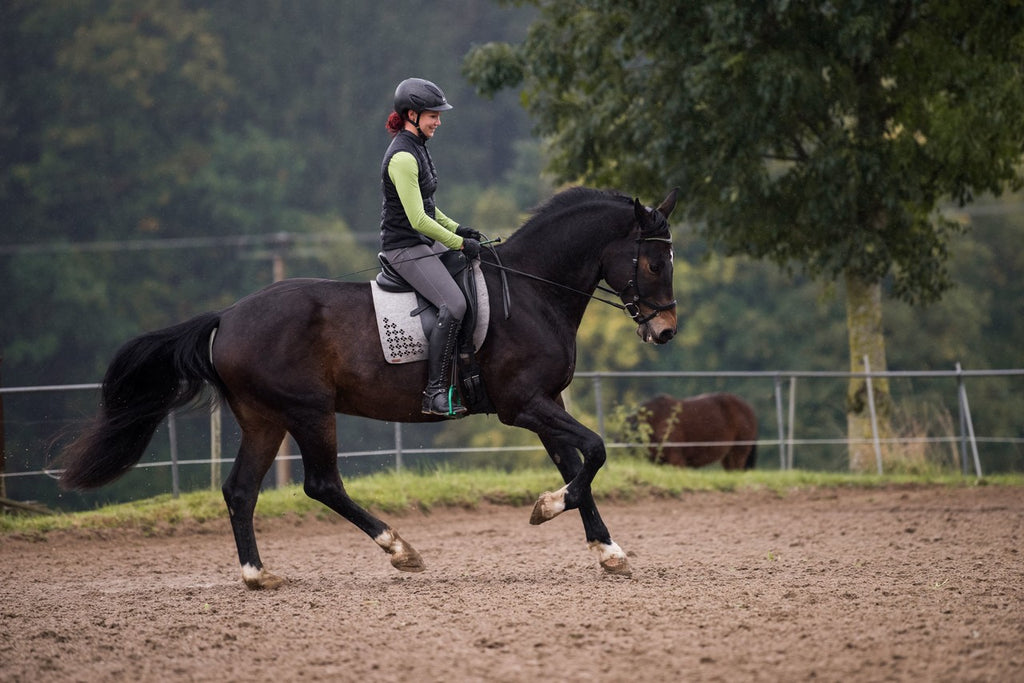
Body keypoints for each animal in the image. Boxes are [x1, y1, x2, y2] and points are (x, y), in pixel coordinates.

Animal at [58, 185, 679, 589]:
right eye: (653, 263)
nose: (667, 331)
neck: (532, 292)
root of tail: (226, 318)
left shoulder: (546, 402)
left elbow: (577, 465)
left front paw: (608, 551)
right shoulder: (524, 405)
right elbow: (593, 452)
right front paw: (546, 509)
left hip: (264, 419)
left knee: (240, 490)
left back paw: (258, 575)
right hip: (310, 412)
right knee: (321, 484)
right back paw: (400, 550)